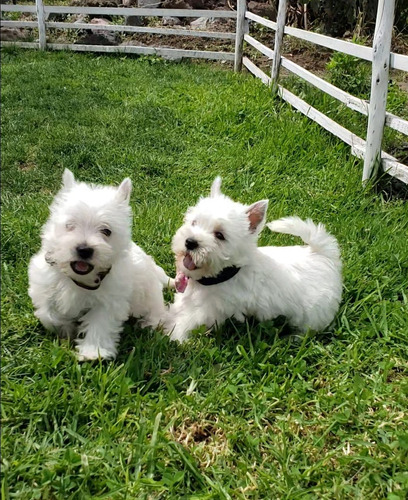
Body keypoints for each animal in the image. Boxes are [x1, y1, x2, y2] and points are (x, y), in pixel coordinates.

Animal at [28, 170, 171, 362]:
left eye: (106, 231)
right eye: (70, 225)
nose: (84, 249)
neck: (81, 279)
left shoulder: (108, 302)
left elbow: (100, 325)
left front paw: (93, 353)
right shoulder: (45, 285)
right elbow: (49, 315)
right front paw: (67, 329)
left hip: (150, 295)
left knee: (158, 310)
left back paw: (150, 323)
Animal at [165, 177, 342, 344]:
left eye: (220, 235)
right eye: (194, 222)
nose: (190, 242)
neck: (223, 275)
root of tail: (323, 254)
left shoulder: (210, 309)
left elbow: (188, 321)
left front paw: (175, 337)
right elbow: (179, 306)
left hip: (315, 312)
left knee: (308, 329)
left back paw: (292, 337)